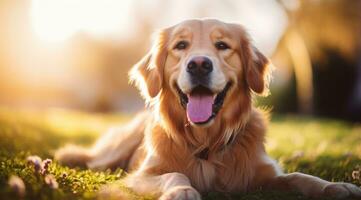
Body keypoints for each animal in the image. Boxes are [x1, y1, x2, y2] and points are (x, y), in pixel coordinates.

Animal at [54, 18, 360, 198]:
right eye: (181, 45)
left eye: (222, 45)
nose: (199, 64)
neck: (206, 144)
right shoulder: (139, 177)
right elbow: (174, 173)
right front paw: (182, 191)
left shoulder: (262, 173)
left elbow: (299, 177)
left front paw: (337, 187)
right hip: (111, 153)